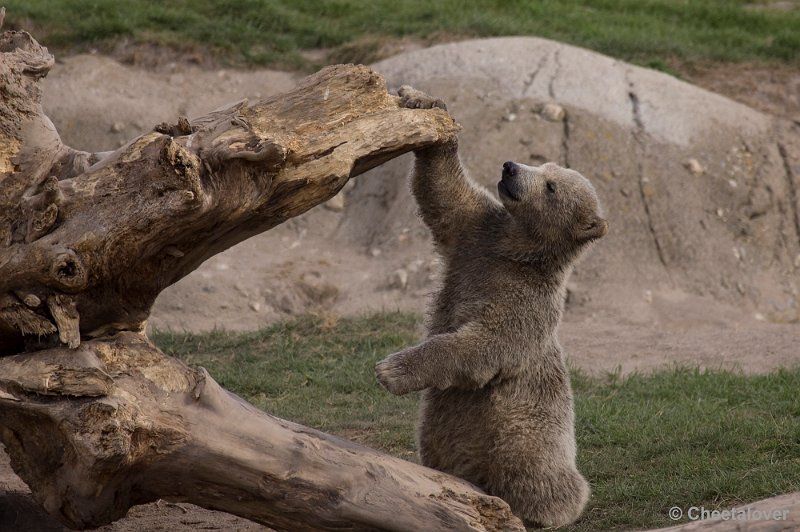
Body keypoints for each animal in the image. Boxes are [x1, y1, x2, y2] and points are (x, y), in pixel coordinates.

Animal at [376, 87, 608, 528]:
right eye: (544, 165)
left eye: (551, 185)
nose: (511, 167)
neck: (518, 251)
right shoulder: (477, 235)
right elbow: (443, 194)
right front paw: (424, 104)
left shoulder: (526, 302)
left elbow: (486, 342)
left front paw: (392, 369)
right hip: (444, 428)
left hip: (526, 430)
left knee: (534, 469)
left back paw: (545, 510)